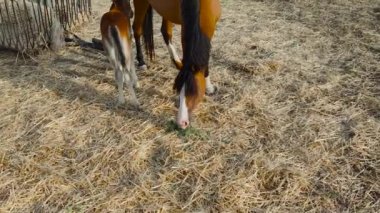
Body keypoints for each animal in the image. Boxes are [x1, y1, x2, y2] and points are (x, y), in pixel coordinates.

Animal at [133, 0, 220, 128]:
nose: (181, 123)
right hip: (140, 3)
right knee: (136, 30)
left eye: (195, 92)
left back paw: (177, 62)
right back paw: (141, 62)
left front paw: (209, 87)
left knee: (165, 31)